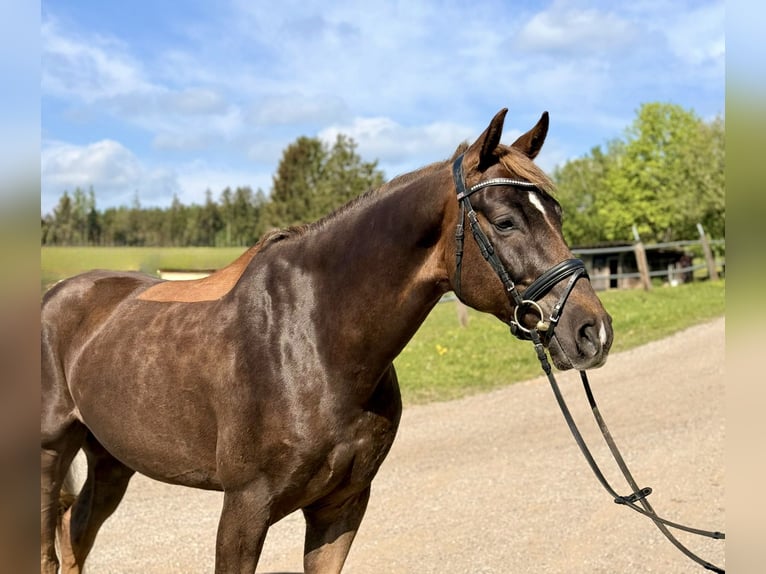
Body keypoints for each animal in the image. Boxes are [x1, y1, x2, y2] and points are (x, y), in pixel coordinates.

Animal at [41, 108, 613, 573]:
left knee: (77, 535)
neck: (314, 342)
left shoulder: (342, 505)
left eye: (557, 215)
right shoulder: (244, 510)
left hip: (112, 458)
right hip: (51, 453)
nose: (593, 331)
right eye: (506, 221)